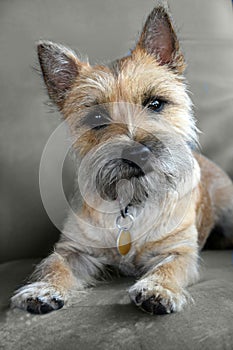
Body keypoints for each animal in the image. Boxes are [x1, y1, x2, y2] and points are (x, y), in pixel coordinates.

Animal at [11, 4, 233, 316]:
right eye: (97, 118)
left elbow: (170, 268)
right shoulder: (73, 250)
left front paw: (158, 289)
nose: (137, 153)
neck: (132, 202)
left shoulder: (178, 251)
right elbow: (54, 265)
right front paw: (43, 289)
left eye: (155, 103)